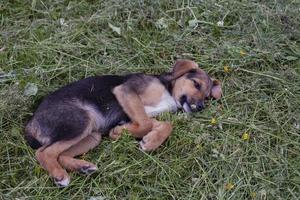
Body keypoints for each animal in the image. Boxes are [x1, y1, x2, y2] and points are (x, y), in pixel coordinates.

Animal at [24, 59, 221, 186]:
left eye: (207, 96)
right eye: (196, 84)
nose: (200, 106)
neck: (167, 90)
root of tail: (31, 123)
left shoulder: (139, 113)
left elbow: (163, 125)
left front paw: (149, 141)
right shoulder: (127, 91)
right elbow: (145, 124)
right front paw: (119, 133)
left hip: (92, 135)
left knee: (60, 155)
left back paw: (83, 167)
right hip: (80, 121)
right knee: (44, 153)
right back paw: (60, 175)